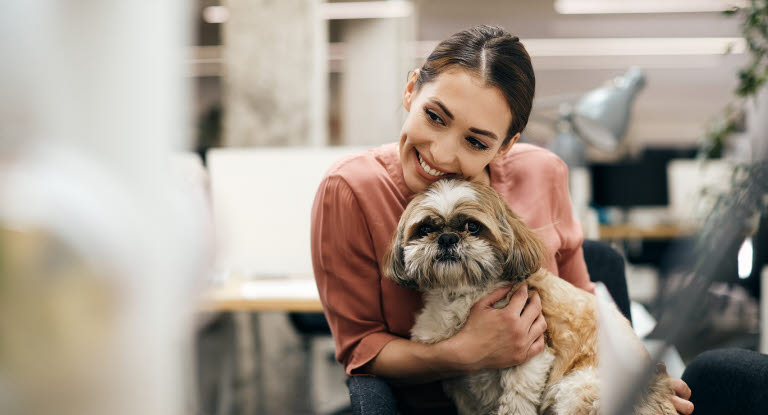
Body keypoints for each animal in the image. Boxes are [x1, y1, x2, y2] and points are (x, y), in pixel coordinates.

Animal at [380, 181, 676, 415]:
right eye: (425, 229)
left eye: (473, 227)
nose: (447, 238)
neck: (461, 295)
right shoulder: (460, 383)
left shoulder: (532, 356)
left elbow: (516, 401)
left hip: (580, 388)